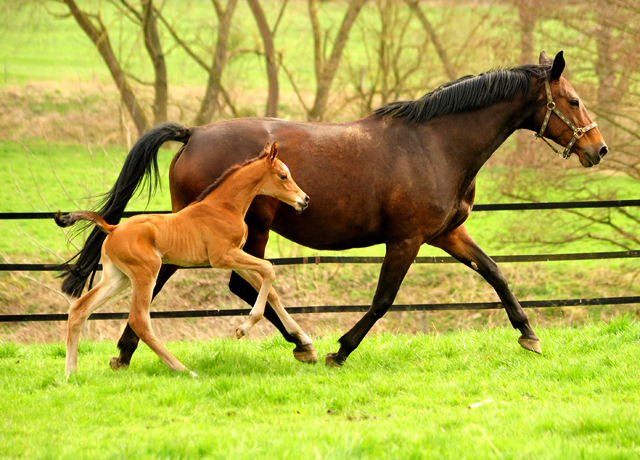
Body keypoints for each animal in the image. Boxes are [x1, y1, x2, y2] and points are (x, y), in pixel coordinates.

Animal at [57, 142, 312, 376]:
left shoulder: (235, 256)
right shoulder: (222, 257)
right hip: (146, 272)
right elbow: (269, 269)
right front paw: (242, 329)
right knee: (139, 320)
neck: (224, 207)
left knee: (79, 309)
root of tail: (113, 228)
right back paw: (182, 369)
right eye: (283, 176)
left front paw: (300, 338)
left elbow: (270, 289)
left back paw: (71, 373)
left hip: (117, 277)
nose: (305, 199)